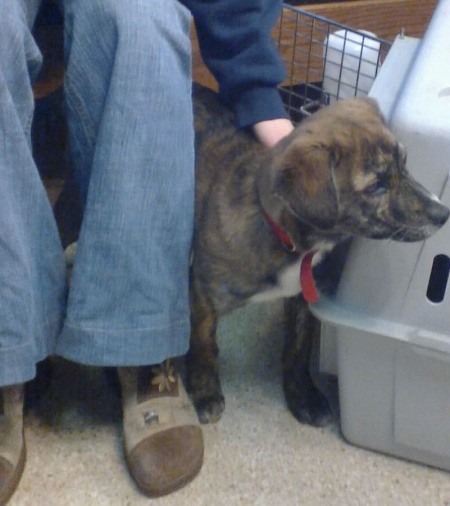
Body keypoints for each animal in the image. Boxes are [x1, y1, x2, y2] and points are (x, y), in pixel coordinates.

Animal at [187, 83, 450, 422]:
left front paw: (303, 395)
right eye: (376, 186)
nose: (443, 213)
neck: (290, 242)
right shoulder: (203, 294)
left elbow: (298, 348)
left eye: (404, 163)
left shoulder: (302, 298)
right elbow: (204, 345)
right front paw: (204, 390)